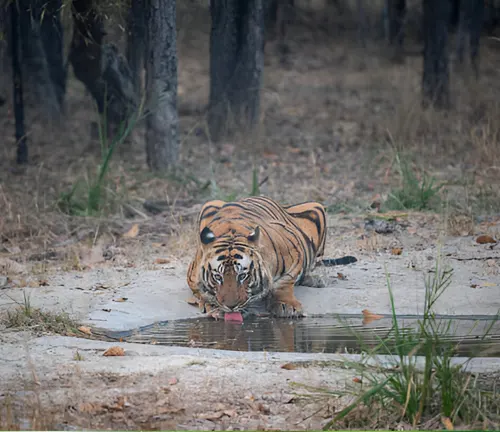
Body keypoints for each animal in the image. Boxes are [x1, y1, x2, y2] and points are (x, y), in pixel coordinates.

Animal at [186, 196, 358, 318]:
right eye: (218, 277)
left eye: (242, 276)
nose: (231, 306)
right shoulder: (192, 276)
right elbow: (200, 290)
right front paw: (211, 304)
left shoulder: (295, 252)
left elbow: (284, 282)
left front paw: (285, 306)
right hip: (209, 204)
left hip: (317, 207)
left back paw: (315, 280)